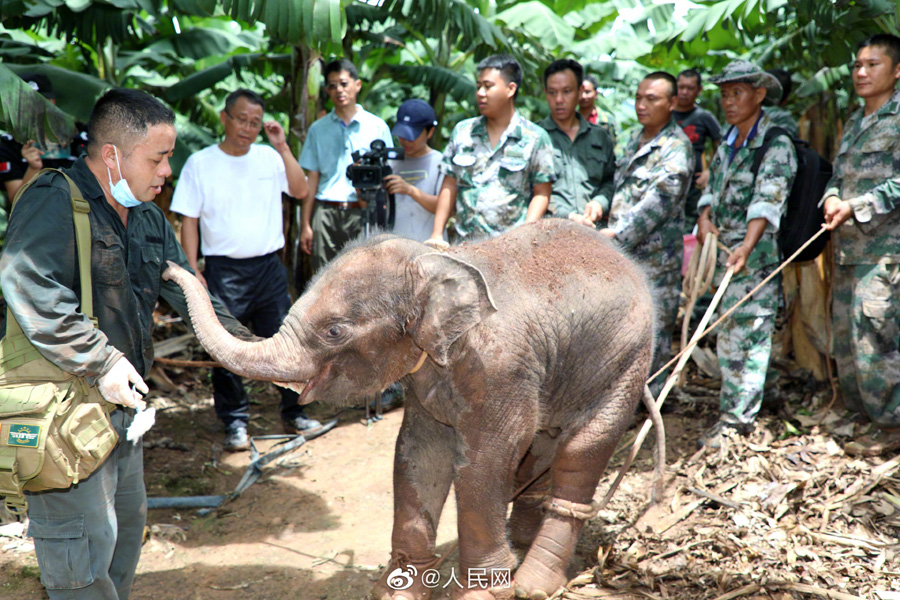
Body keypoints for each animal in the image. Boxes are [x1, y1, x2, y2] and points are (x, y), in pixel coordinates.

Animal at [163, 220, 652, 600]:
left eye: (334, 331)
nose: (169, 269)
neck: (439, 263)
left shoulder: (502, 368)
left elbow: (484, 462)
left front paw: (482, 591)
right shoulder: (428, 377)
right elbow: (418, 453)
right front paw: (398, 588)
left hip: (626, 360)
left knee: (581, 450)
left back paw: (533, 582)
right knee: (544, 447)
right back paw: (522, 543)